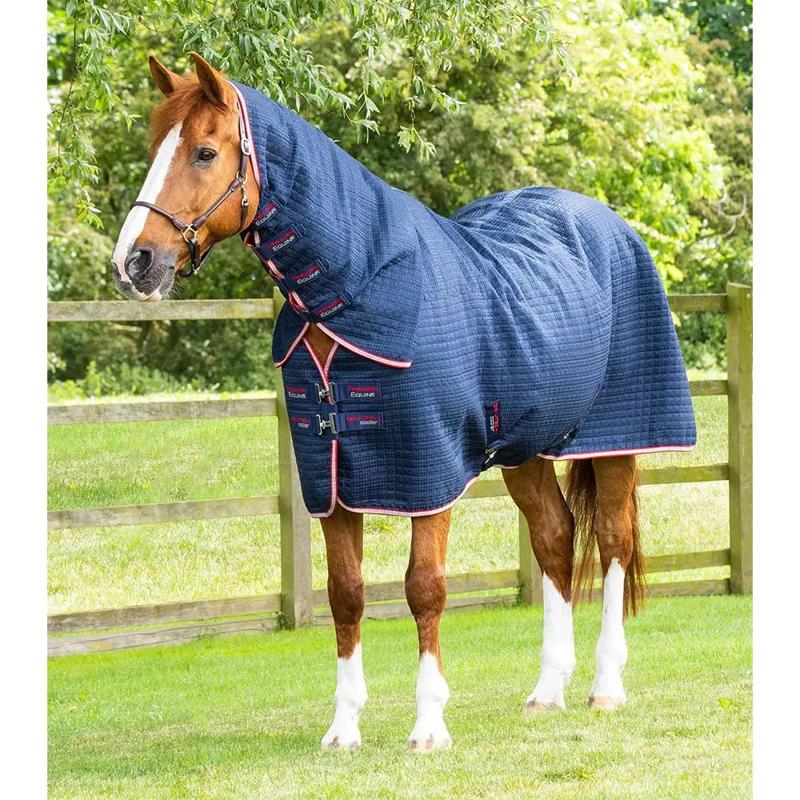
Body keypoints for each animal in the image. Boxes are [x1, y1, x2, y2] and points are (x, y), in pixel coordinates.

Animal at [111, 53, 696, 752]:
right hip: (523, 450)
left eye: (204, 151)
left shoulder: (426, 469)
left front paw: (429, 726)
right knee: (555, 539)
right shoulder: (331, 476)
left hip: (617, 441)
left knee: (610, 544)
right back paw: (547, 691)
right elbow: (346, 593)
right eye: (154, 148)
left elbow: (425, 589)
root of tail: (610, 224)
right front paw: (343, 730)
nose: (134, 262)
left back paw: (605, 688)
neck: (354, 290)